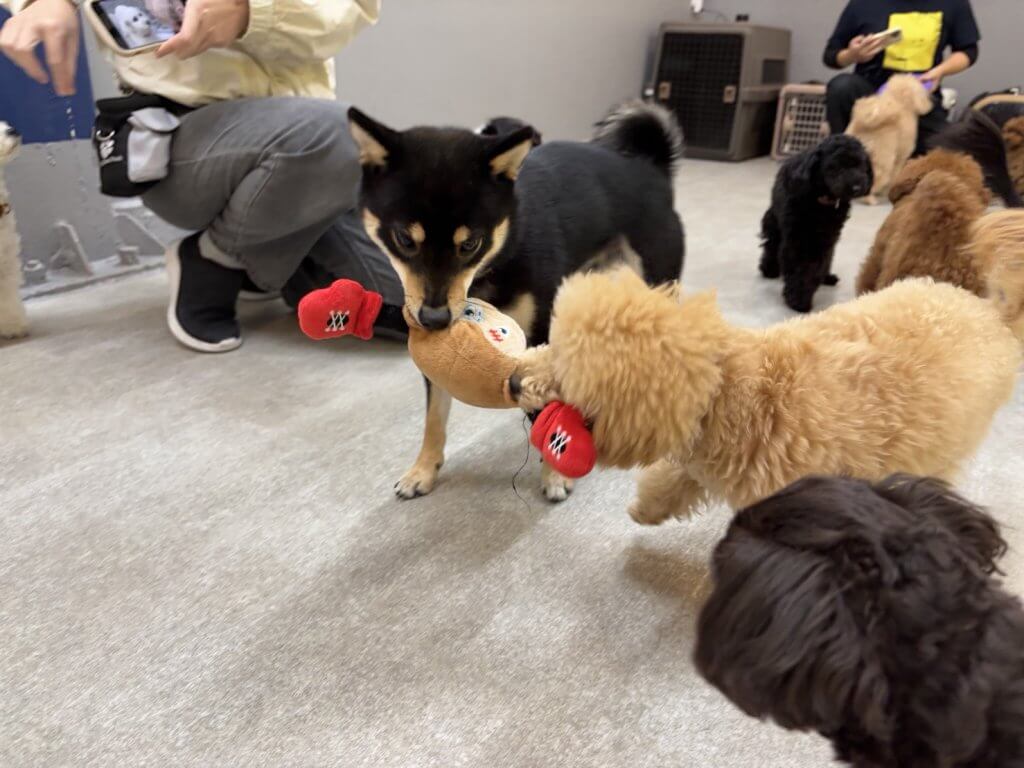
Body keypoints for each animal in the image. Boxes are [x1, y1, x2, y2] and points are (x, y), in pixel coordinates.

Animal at [516, 268, 1019, 528]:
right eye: (551, 341)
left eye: (565, 369)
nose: (515, 381)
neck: (728, 388)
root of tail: (992, 315)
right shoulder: (697, 464)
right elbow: (671, 483)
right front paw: (645, 511)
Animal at [761, 135, 872, 313]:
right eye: (834, 166)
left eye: (861, 164)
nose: (857, 187)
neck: (821, 200)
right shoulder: (796, 238)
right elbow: (799, 267)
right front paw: (799, 299)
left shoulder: (825, 237)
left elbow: (818, 264)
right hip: (775, 221)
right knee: (771, 244)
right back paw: (769, 269)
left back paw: (827, 277)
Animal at [843, 74, 933, 204]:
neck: (901, 101)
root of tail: (867, 123)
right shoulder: (900, 158)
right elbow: (895, 175)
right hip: (882, 160)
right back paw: (870, 199)